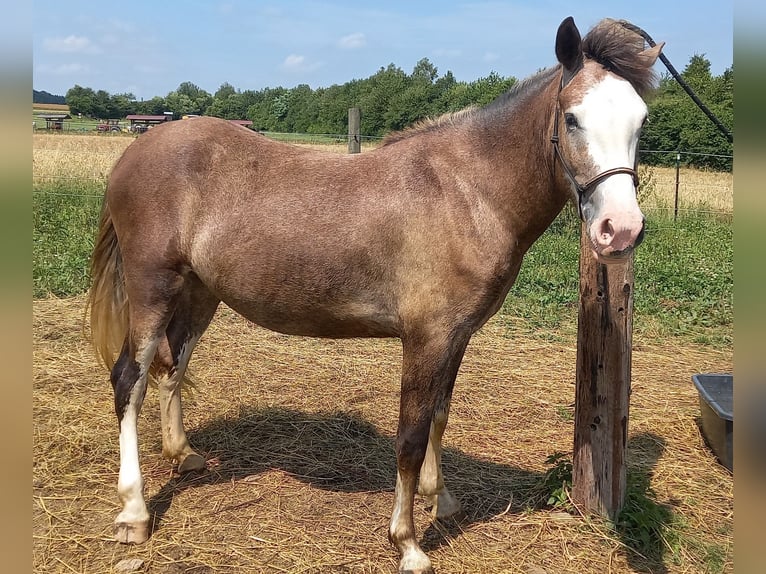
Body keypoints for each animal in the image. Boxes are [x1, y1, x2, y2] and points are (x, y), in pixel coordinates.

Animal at [90, 15, 664, 572]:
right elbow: (410, 436)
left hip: (197, 293)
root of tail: (134, 151)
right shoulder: (426, 338)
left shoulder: (456, 336)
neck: (466, 192)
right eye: (572, 118)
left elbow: (439, 415)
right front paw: (407, 543)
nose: (620, 230)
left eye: (641, 121)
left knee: (173, 366)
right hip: (152, 287)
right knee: (130, 380)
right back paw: (134, 512)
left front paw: (442, 499)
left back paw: (183, 454)